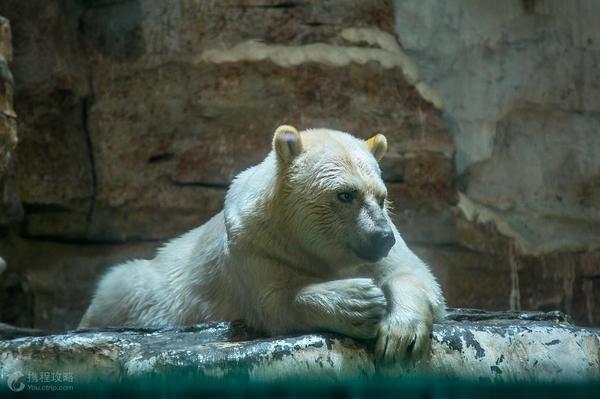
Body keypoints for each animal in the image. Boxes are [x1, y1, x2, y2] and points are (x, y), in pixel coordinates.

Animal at [81, 126, 446, 364]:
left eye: (381, 197)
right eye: (345, 194)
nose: (382, 237)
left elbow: (411, 272)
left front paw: (401, 334)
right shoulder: (254, 241)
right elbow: (272, 301)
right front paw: (357, 300)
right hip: (151, 287)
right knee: (120, 284)